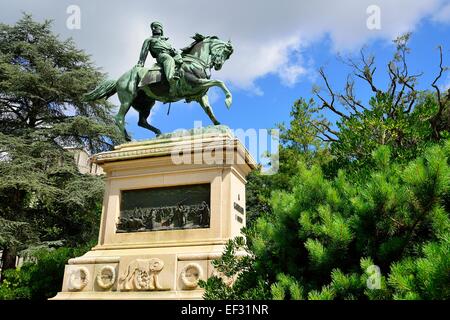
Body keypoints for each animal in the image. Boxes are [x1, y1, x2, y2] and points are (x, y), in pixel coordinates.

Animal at [82, 33, 234, 141]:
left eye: (227, 55)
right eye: (224, 51)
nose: (218, 65)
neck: (194, 61)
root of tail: (120, 78)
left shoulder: (200, 94)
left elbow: (209, 110)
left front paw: (218, 124)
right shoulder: (195, 83)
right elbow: (219, 82)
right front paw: (228, 100)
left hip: (146, 103)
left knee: (142, 122)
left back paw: (159, 133)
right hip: (127, 99)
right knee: (119, 118)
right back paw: (128, 139)